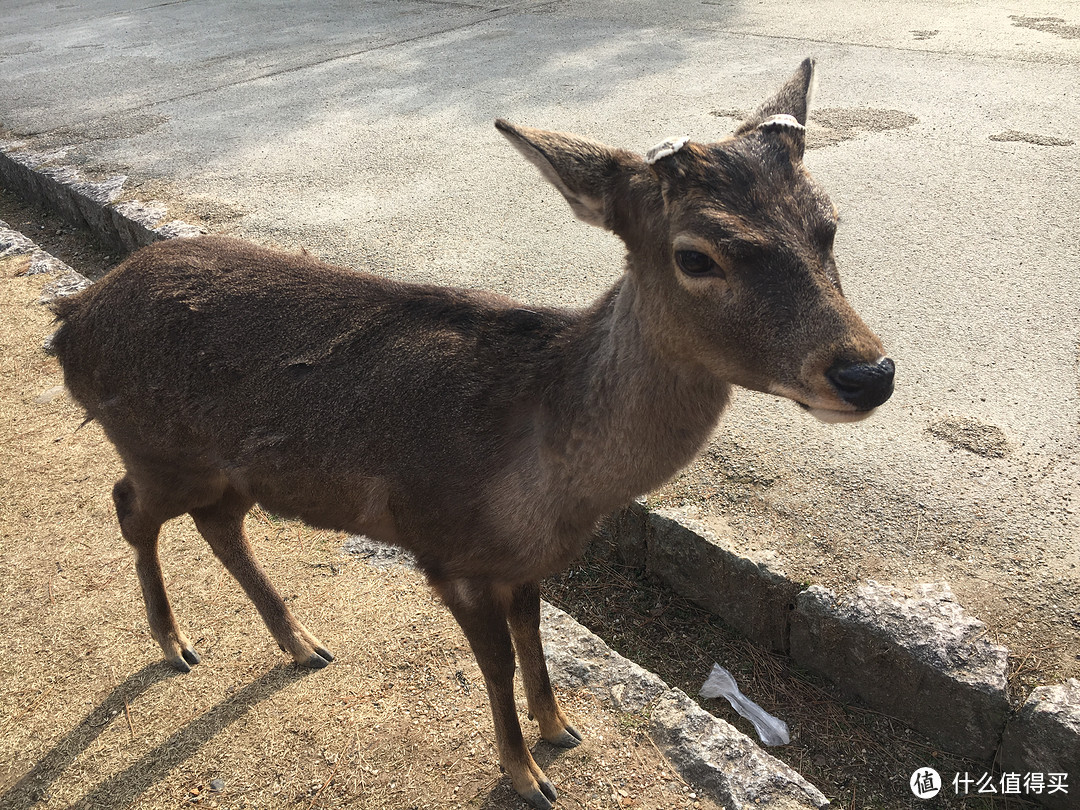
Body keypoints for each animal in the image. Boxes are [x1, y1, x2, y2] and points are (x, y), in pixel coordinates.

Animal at [50, 60, 894, 807]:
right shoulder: (450, 551)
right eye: (696, 255)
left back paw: (301, 643)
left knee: (217, 524)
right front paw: (527, 776)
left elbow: (534, 642)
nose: (868, 372)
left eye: (828, 224)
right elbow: (495, 666)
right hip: (156, 448)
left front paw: (561, 728)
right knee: (129, 505)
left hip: (226, 471)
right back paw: (174, 644)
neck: (547, 482)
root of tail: (71, 315)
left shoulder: (524, 563)